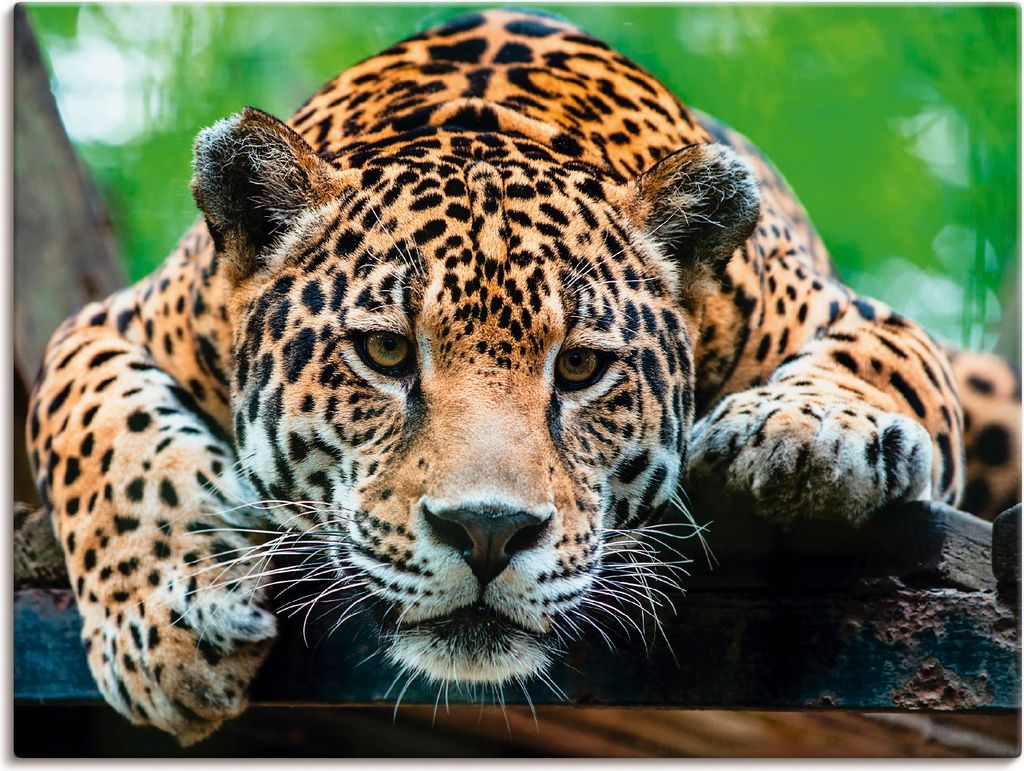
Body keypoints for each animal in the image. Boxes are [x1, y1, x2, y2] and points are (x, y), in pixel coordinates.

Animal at [26, 9, 1021, 745]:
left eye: (580, 367)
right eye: (386, 354)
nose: (487, 532)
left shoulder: (853, 314)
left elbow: (879, 361)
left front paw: (805, 433)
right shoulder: (111, 323)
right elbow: (100, 434)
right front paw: (164, 627)